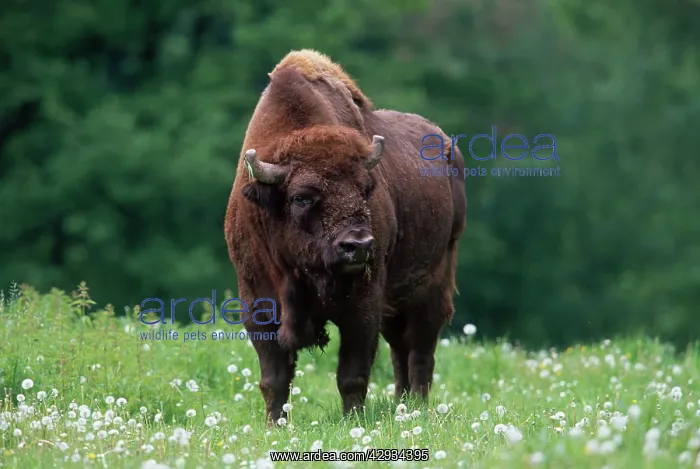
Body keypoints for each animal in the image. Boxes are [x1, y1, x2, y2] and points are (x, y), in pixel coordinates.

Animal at [224, 49, 466, 423]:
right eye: (302, 197)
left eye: (366, 189)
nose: (359, 246)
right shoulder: (258, 306)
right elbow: (273, 377)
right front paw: (274, 424)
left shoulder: (362, 306)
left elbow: (352, 374)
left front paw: (353, 421)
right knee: (400, 349)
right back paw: (402, 403)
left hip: (433, 287)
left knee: (420, 351)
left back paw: (417, 406)